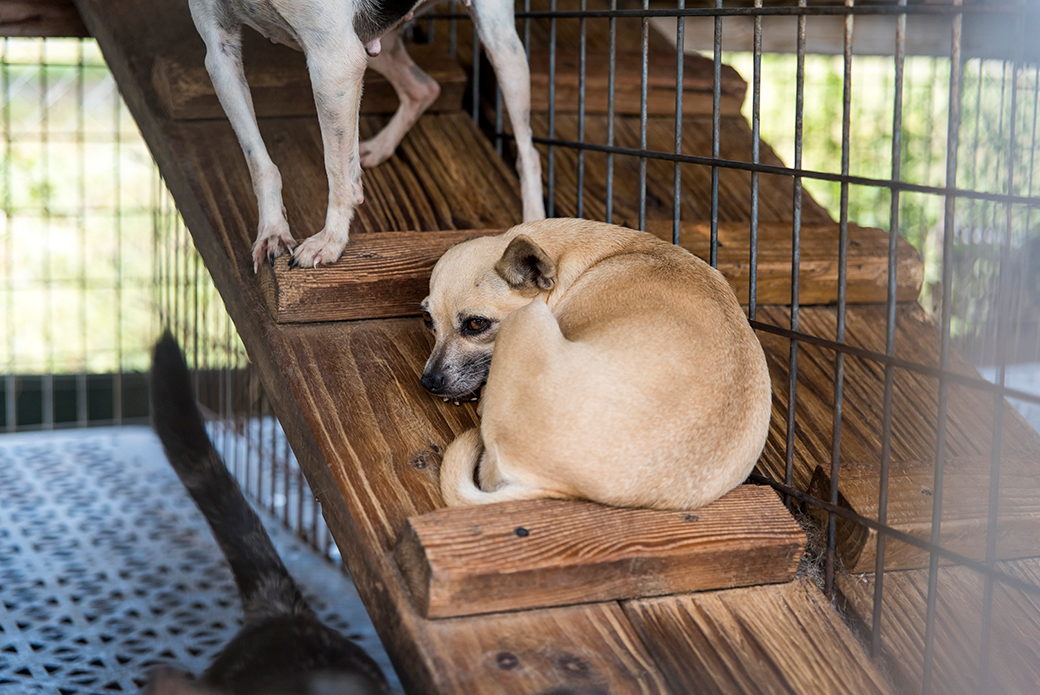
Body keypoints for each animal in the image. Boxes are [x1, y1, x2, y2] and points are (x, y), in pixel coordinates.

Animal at [189, 0, 544, 270]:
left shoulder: (334, 61)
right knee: (423, 88)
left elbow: (335, 168)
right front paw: (272, 231)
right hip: (373, 40)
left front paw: (331, 240)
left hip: (502, 44)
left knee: (529, 153)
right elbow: (258, 161)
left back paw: (535, 224)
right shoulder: (218, 52)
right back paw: (381, 146)